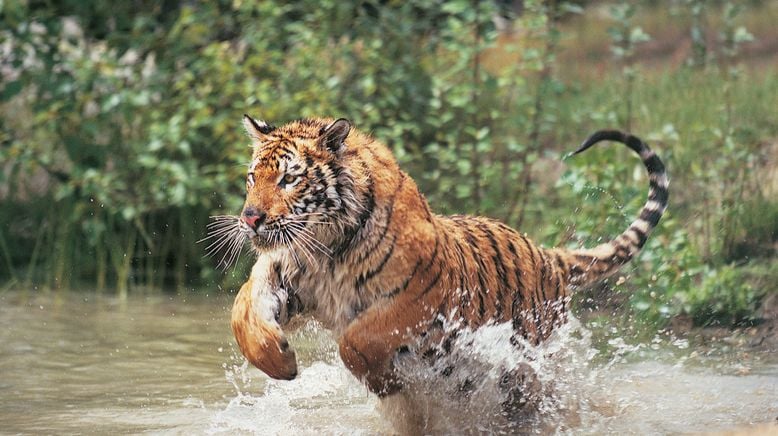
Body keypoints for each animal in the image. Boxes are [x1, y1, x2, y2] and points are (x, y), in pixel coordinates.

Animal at [209, 116, 664, 406]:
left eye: (289, 178)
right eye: (253, 177)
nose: (250, 218)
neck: (326, 247)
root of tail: (548, 255)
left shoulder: (420, 297)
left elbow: (357, 339)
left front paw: (385, 382)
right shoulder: (281, 273)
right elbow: (241, 313)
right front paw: (280, 362)